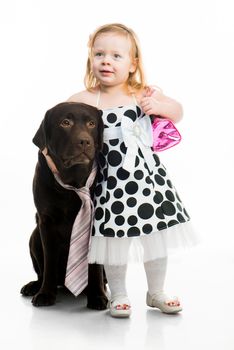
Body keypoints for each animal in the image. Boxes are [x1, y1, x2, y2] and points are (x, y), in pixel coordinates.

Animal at [20, 102, 108, 308]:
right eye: (65, 123)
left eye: (92, 123)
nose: (84, 141)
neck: (73, 182)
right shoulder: (46, 222)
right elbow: (49, 262)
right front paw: (45, 294)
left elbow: (94, 266)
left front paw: (97, 296)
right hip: (34, 236)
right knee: (42, 272)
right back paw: (34, 286)